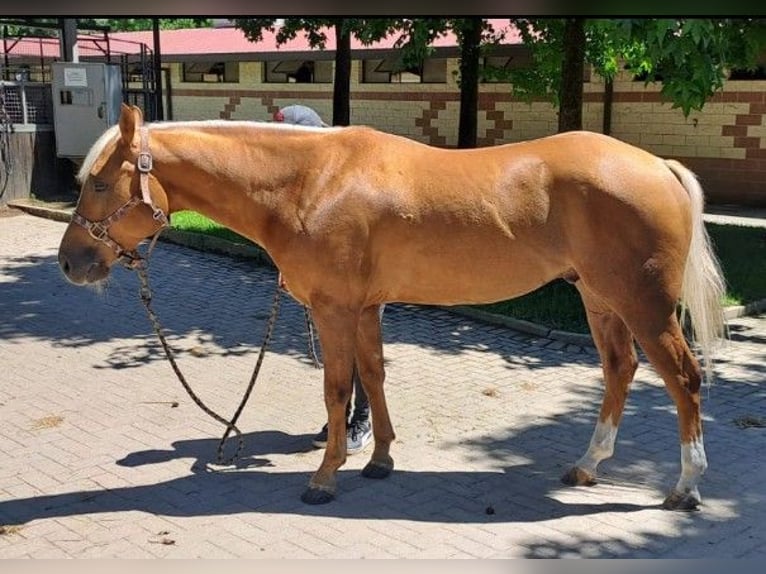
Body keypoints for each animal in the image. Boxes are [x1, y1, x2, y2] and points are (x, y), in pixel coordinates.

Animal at [58, 106, 728, 510]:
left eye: (100, 183)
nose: (71, 263)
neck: (310, 181)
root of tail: (657, 165)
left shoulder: (334, 309)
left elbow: (336, 388)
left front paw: (325, 477)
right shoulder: (365, 308)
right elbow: (373, 377)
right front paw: (379, 459)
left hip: (641, 304)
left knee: (683, 378)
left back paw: (685, 487)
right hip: (599, 298)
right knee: (619, 370)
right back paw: (588, 466)